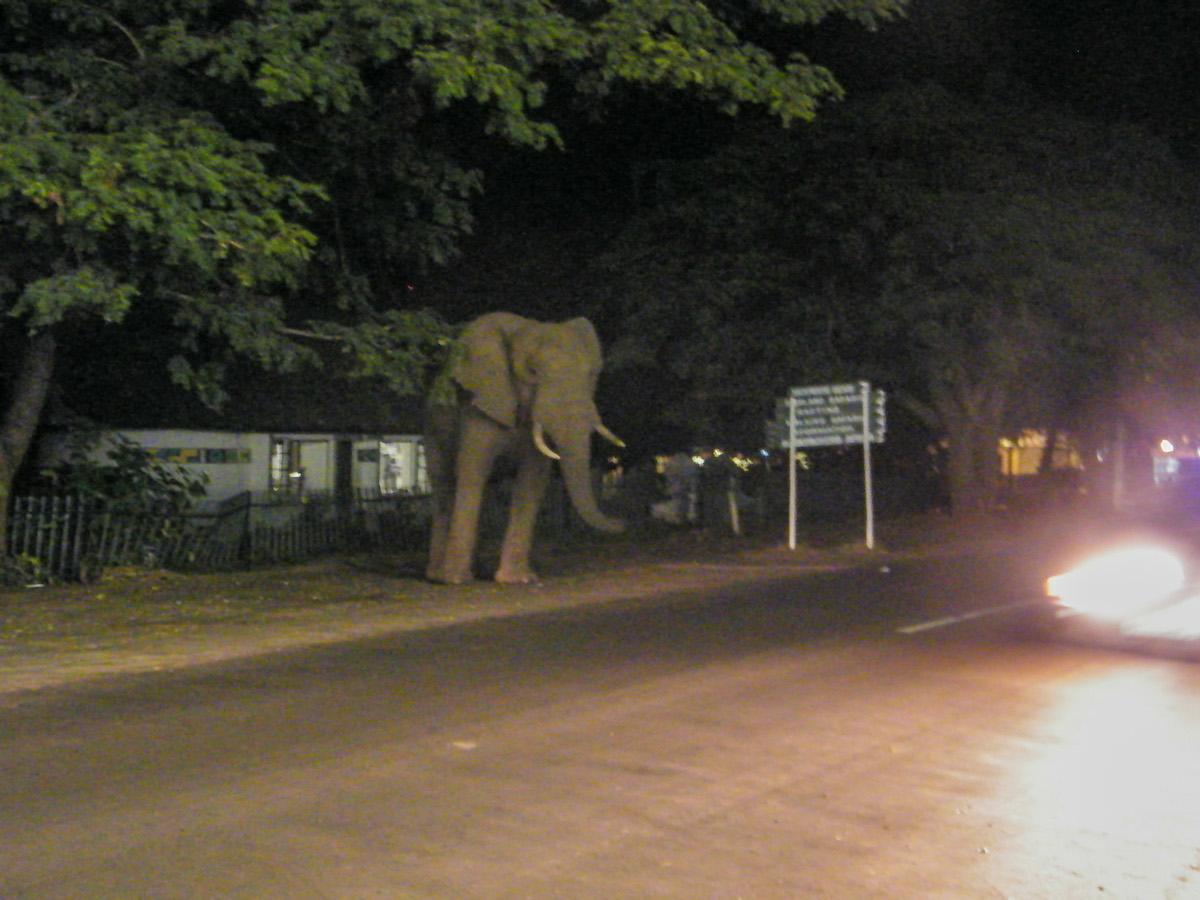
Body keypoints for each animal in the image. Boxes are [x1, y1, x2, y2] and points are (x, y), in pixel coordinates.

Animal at [424, 314, 628, 585]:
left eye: (591, 373)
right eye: (532, 372)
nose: (623, 522)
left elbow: (532, 479)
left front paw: (517, 580)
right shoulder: (480, 405)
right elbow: (473, 472)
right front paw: (457, 580)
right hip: (432, 427)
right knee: (444, 486)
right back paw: (439, 576)